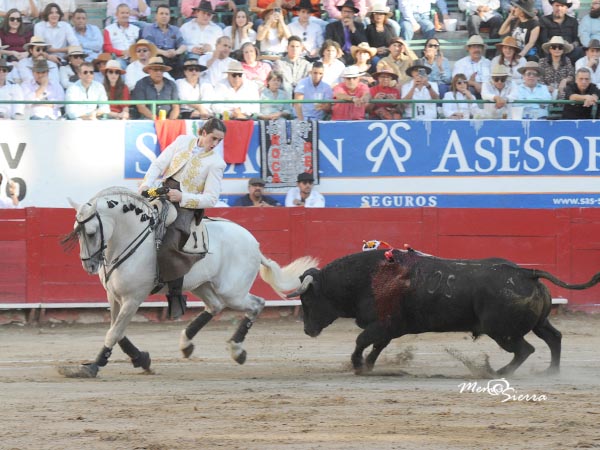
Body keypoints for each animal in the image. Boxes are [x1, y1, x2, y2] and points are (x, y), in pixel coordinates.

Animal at [59, 188, 318, 378]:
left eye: (91, 233)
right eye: (76, 231)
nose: (89, 266)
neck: (128, 240)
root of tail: (254, 244)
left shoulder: (134, 298)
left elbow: (113, 333)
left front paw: (92, 367)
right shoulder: (114, 297)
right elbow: (116, 330)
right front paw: (142, 359)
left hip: (232, 291)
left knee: (256, 304)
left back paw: (236, 350)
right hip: (202, 284)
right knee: (215, 306)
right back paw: (187, 344)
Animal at [288, 248, 600, 374]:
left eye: (308, 301)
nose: (307, 330)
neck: (368, 277)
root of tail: (526, 273)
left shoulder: (384, 324)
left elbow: (362, 341)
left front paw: (357, 365)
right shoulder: (390, 328)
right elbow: (376, 346)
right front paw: (369, 365)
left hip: (501, 332)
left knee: (525, 350)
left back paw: (495, 372)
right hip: (537, 323)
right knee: (554, 338)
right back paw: (551, 371)